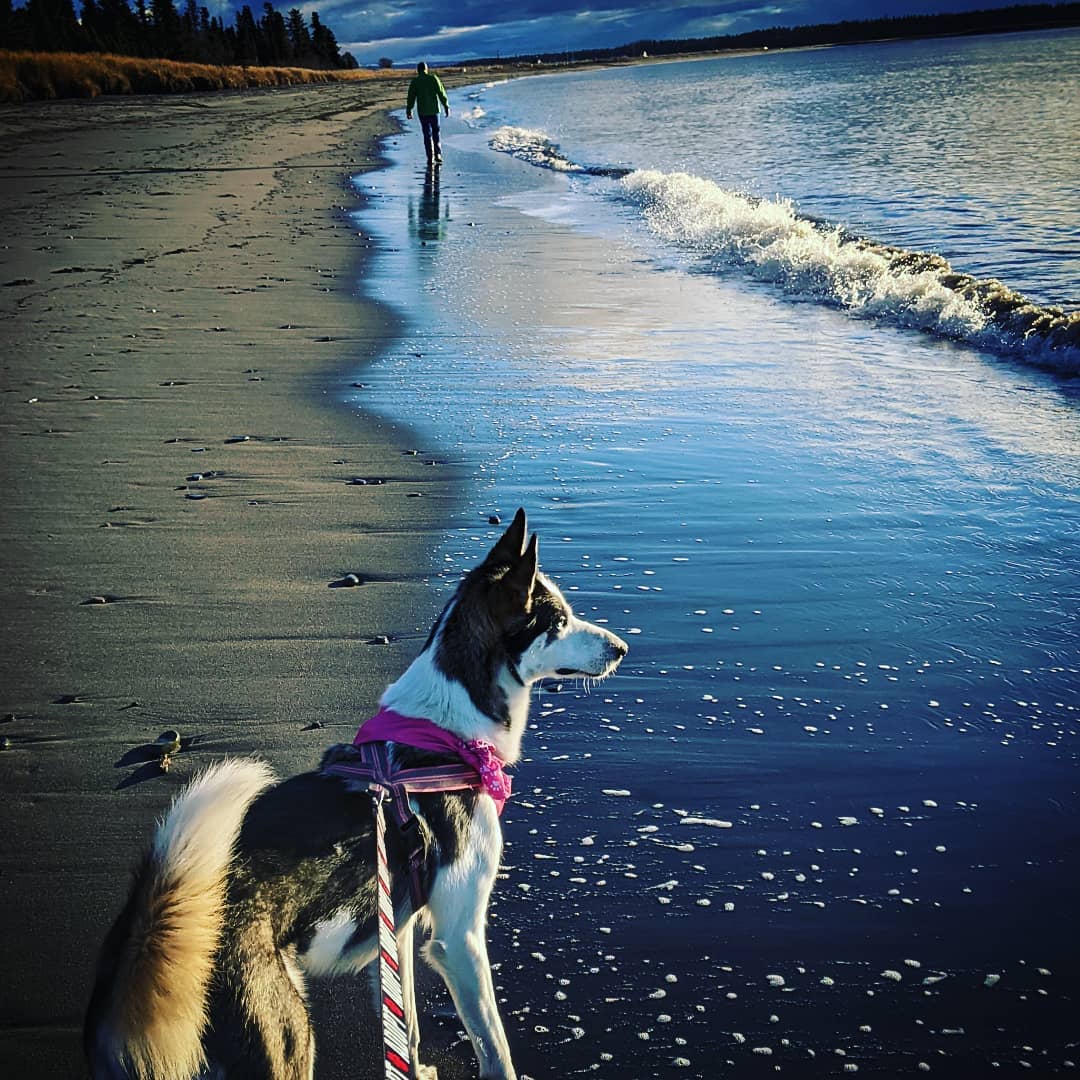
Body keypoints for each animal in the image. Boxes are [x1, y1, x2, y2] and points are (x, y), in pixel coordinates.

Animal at [84, 507, 630, 1080]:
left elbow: (406, 1020)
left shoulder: (401, 923)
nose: (622, 649)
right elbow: (495, 1050)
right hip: (287, 1034)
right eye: (559, 621)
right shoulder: (459, 940)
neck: (445, 734)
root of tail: (149, 930)